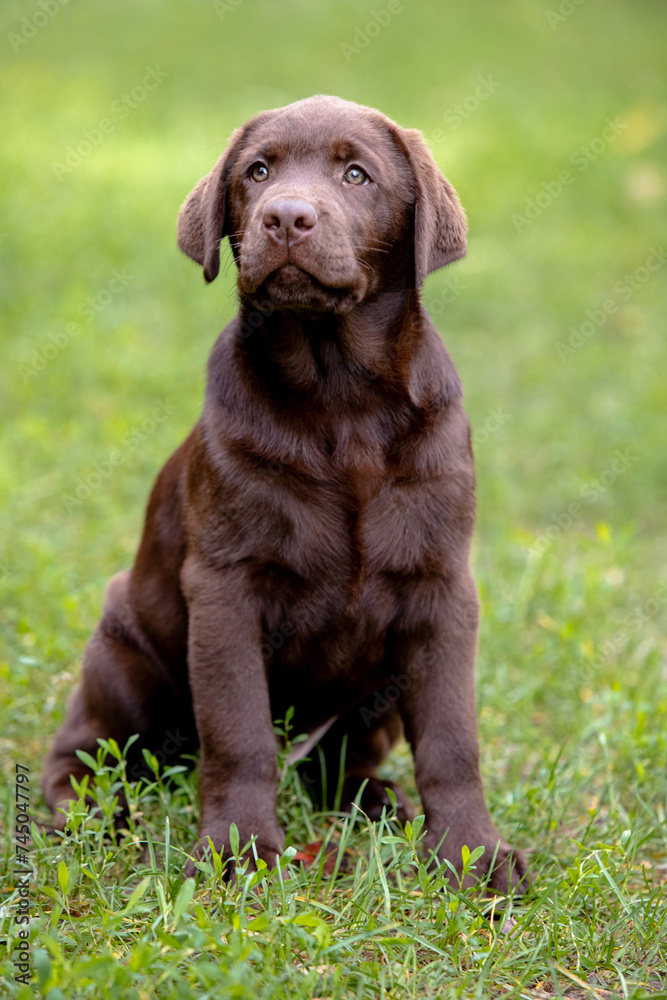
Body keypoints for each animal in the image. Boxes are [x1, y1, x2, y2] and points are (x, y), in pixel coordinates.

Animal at [44, 95, 528, 892]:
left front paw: (471, 854)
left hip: (375, 700)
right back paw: (80, 814)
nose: (286, 217)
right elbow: (238, 732)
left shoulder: (442, 589)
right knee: (85, 749)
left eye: (357, 174)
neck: (341, 400)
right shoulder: (226, 590)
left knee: (335, 763)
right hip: (124, 657)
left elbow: (453, 738)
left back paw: (373, 802)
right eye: (258, 172)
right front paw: (238, 850)